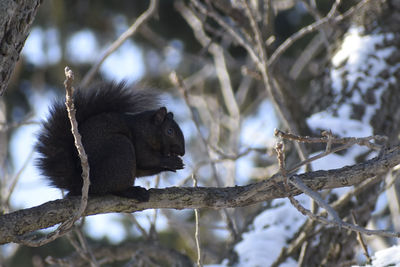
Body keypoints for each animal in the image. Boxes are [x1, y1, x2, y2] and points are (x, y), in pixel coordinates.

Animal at [35, 82, 185, 202]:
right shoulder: (139, 138)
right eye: (170, 131)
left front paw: (173, 165)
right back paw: (133, 192)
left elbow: (144, 169)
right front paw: (172, 161)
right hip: (120, 148)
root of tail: (82, 185)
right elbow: (145, 159)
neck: (145, 127)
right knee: (113, 188)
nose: (182, 152)